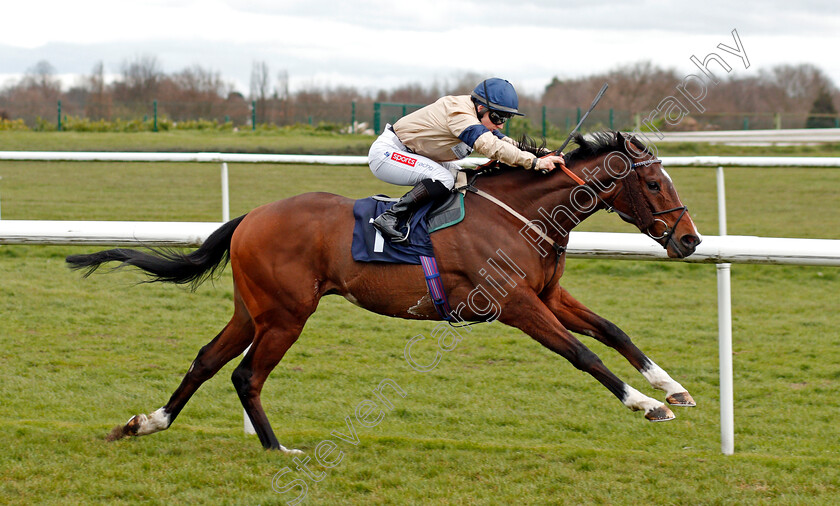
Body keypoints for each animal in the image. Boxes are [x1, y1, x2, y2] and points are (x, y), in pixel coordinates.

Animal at [67, 132, 704, 452]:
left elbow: (613, 331)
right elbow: (583, 354)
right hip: (286, 315)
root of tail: (251, 216)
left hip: (254, 311)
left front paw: (673, 389)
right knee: (246, 375)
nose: (691, 240)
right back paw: (276, 449)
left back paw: (145, 423)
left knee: (205, 361)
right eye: (653, 183)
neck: (522, 216)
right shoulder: (514, 305)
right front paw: (645, 405)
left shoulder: (546, 296)